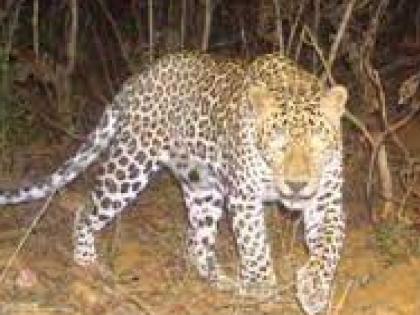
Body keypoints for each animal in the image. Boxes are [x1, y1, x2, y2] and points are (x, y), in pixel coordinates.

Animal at [0, 52, 348, 315]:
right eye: (278, 144)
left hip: (203, 189)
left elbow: (329, 247)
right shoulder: (245, 197)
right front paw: (264, 289)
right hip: (130, 165)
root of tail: (141, 75)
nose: (296, 185)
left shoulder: (326, 200)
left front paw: (314, 290)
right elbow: (255, 246)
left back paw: (224, 282)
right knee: (86, 209)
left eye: (318, 143)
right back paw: (87, 263)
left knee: (197, 243)